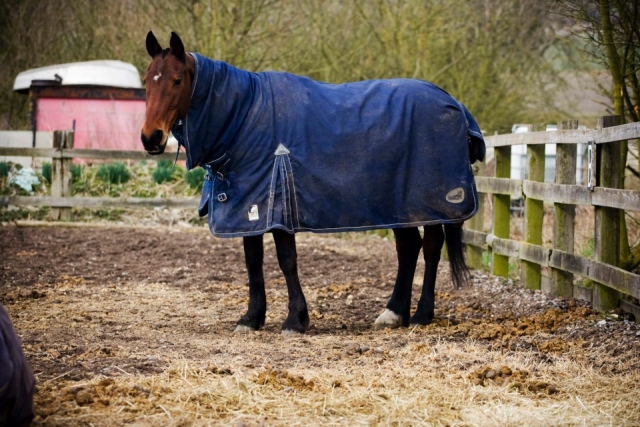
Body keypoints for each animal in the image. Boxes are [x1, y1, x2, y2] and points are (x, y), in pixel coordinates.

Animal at [141, 32, 485, 334]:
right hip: (398, 207)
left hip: (431, 204)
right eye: (146, 81)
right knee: (409, 248)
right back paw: (393, 313)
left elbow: (287, 260)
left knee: (431, 249)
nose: (150, 138)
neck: (245, 117)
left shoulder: (278, 206)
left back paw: (421, 315)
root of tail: (453, 104)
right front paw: (251, 318)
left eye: (177, 80)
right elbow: (253, 261)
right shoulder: (249, 207)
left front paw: (295, 320)